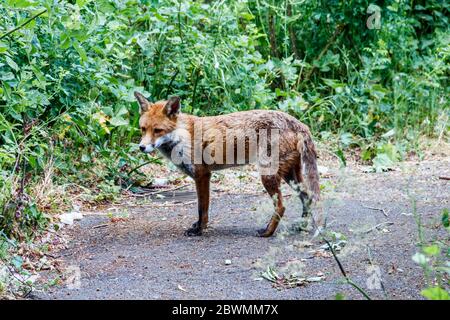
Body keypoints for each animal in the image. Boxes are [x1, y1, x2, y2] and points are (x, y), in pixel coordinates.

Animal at [134, 92, 320, 238]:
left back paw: (267, 232)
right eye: (143, 129)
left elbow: (202, 209)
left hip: (268, 175)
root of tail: (299, 123)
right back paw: (301, 226)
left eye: (157, 130)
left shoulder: (202, 175)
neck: (182, 136)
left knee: (281, 206)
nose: (142, 147)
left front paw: (199, 230)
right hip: (290, 175)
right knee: (308, 197)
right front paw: (197, 226)